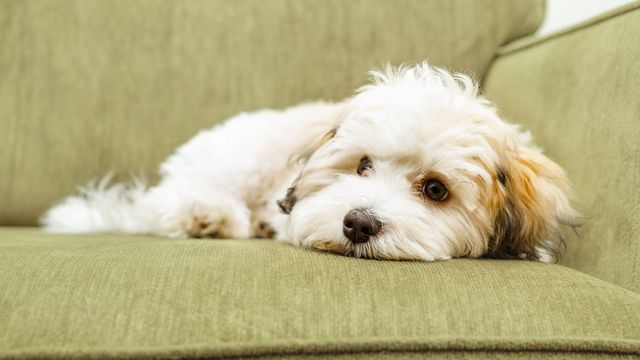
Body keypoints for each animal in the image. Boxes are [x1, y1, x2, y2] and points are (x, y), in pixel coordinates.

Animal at [42, 62, 576, 262]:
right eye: (362, 165)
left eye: (435, 189)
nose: (358, 223)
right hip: (240, 158)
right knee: (167, 201)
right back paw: (207, 216)